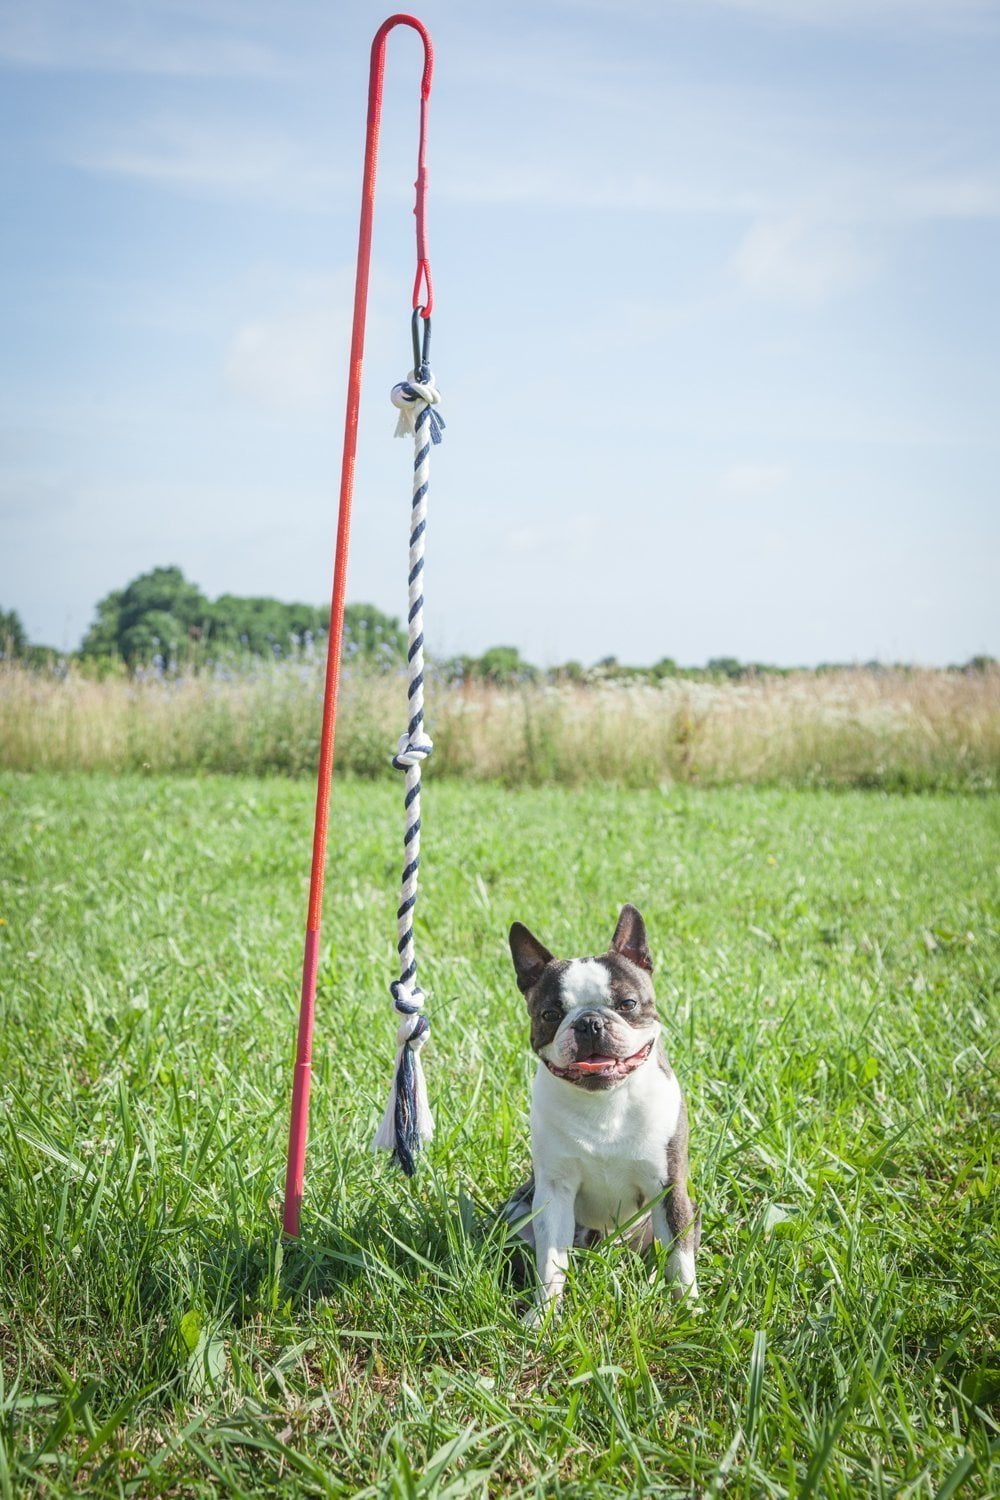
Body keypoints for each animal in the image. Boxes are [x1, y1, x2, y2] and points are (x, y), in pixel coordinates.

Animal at [503, 900, 701, 1326]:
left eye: (627, 1004)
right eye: (550, 1014)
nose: (590, 1022)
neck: (605, 1103)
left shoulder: (669, 1187)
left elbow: (680, 1260)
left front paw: (689, 1311)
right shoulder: (555, 1192)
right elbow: (551, 1263)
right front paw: (541, 1318)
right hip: (518, 1211)